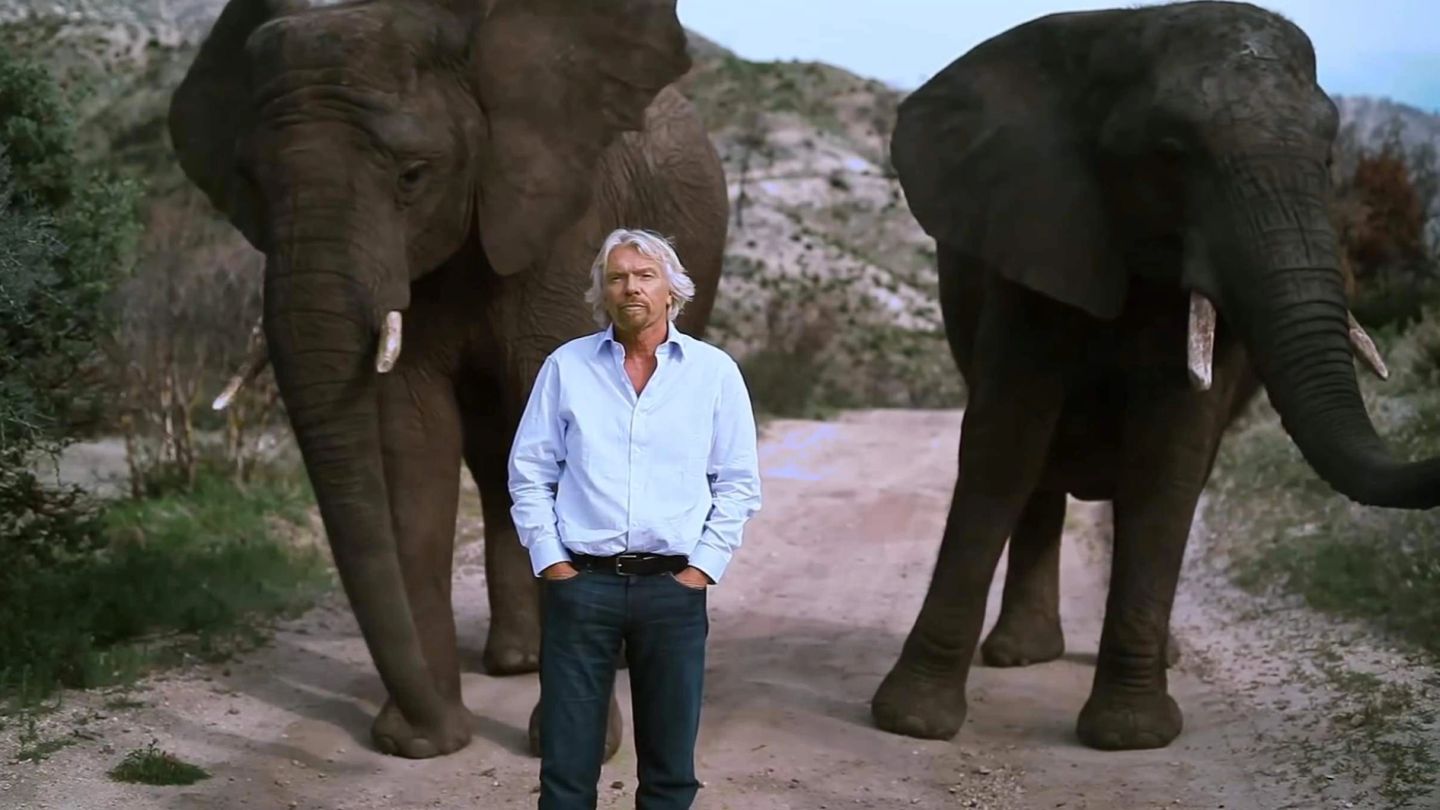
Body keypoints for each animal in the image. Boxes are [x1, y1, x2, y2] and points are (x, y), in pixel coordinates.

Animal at [168, 0, 727, 759]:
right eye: (249, 182)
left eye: (412, 175)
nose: (429, 720)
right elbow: (412, 444)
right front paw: (418, 744)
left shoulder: (565, 220)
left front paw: (567, 741)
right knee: (496, 460)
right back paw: (516, 659)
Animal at [872, 0, 1439, 752]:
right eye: (1170, 154)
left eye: (1327, 158)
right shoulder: (1040, 231)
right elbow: (1005, 443)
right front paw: (911, 722)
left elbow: (1168, 460)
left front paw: (1130, 736)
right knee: (1041, 471)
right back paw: (1021, 655)